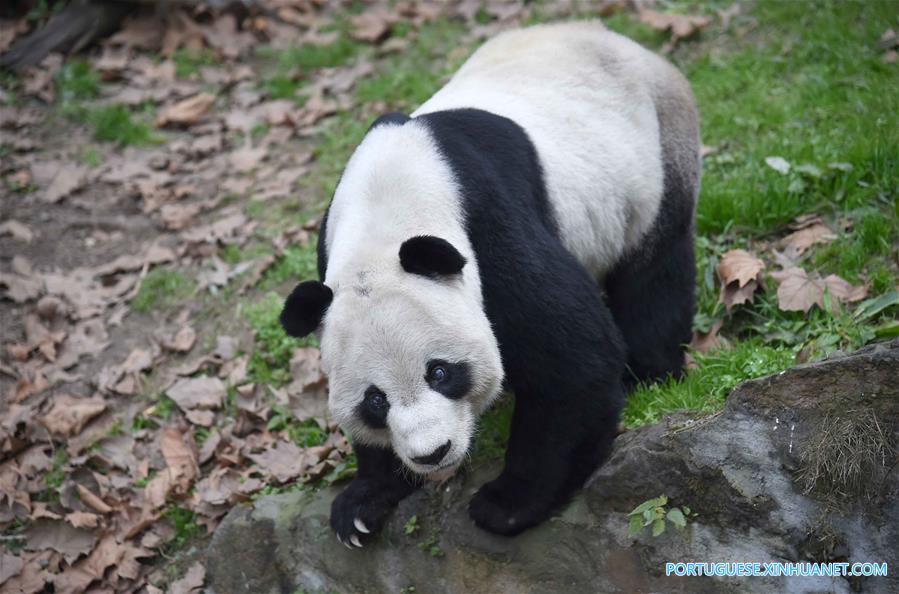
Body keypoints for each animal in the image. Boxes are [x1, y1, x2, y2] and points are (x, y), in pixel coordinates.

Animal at [280, 21, 699, 544]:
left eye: (439, 373)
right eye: (375, 400)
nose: (432, 453)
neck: (386, 211)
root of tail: (614, 36)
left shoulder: (486, 226)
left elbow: (574, 360)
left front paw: (507, 504)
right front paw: (362, 503)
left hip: (658, 153)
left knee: (654, 272)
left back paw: (650, 371)